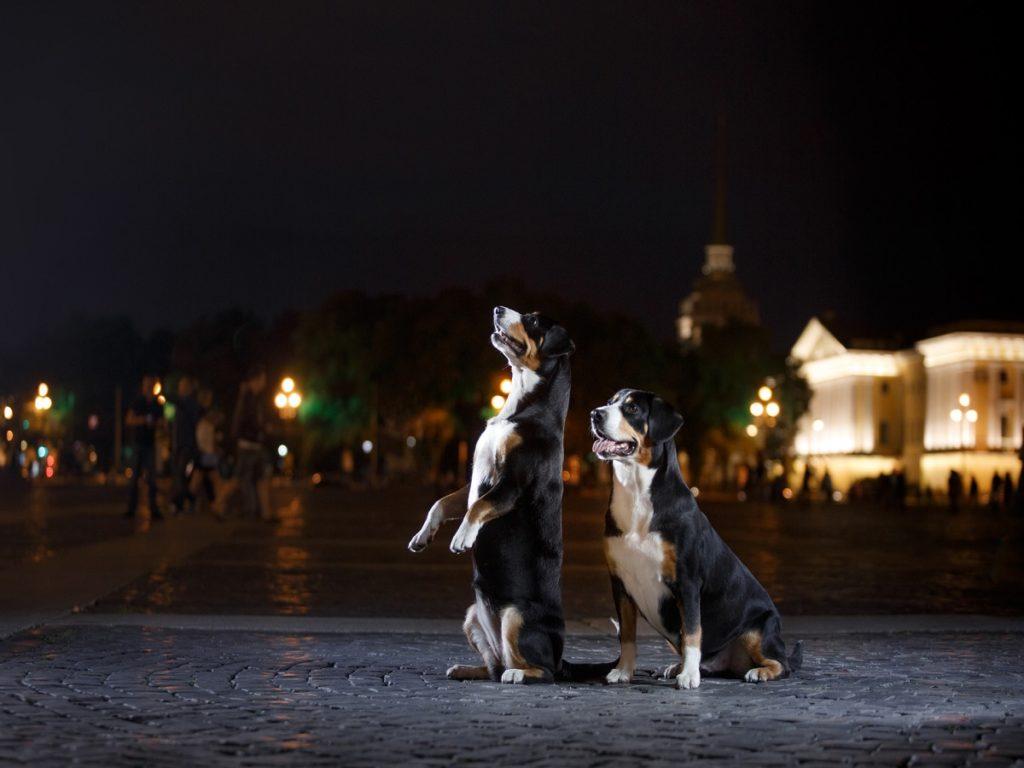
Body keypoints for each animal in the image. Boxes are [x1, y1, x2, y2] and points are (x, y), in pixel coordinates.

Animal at [411, 307, 581, 684]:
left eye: (534, 321)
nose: (497, 310)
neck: (522, 406)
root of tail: (562, 658)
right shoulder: (474, 478)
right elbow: (441, 504)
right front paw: (422, 537)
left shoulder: (510, 484)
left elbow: (479, 507)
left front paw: (462, 537)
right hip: (471, 615)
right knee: (493, 665)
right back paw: (466, 669)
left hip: (516, 617)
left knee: (541, 672)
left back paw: (519, 675)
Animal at [593, 391, 798, 692]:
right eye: (610, 402)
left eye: (632, 409)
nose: (595, 414)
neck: (637, 494)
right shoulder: (620, 582)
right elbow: (627, 635)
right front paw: (624, 671)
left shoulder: (687, 581)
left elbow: (692, 633)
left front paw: (689, 676)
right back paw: (676, 667)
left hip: (759, 629)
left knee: (783, 664)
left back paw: (757, 671)